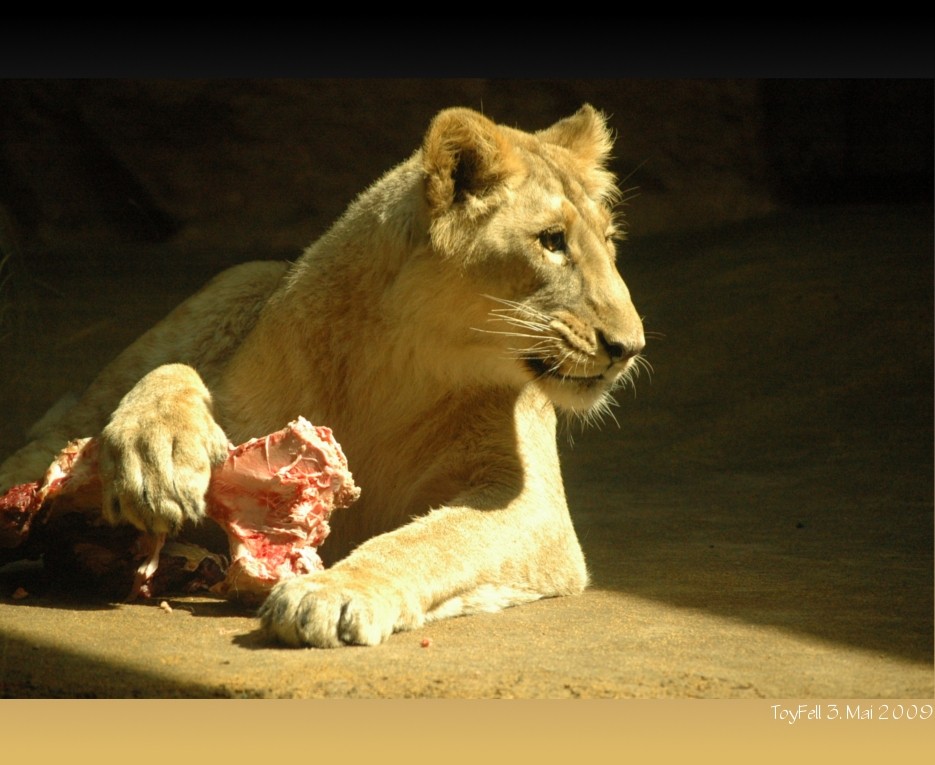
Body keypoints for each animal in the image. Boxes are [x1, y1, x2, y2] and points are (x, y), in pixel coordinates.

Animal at [0, 104, 644, 648]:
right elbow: (179, 371)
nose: (628, 348)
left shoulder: (531, 506)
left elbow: (432, 540)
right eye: (551, 241)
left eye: (610, 243)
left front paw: (332, 594)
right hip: (238, 278)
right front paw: (158, 455)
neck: (397, 367)